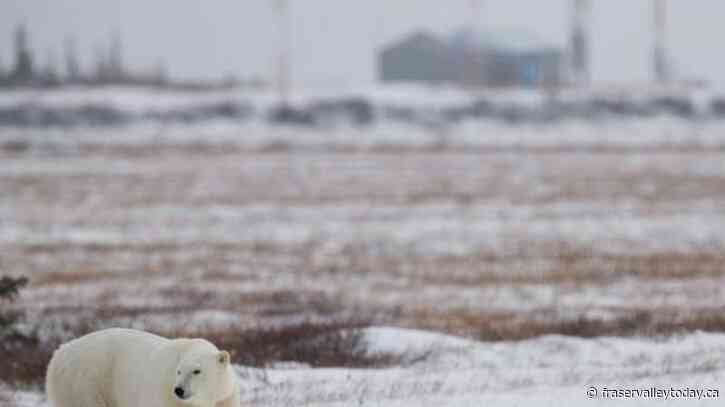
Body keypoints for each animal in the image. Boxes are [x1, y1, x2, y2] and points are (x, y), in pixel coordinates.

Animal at [46, 328, 241, 407]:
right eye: (178, 371)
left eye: (196, 371)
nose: (179, 390)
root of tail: (59, 353)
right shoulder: (165, 398)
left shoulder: (224, 399)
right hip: (85, 384)